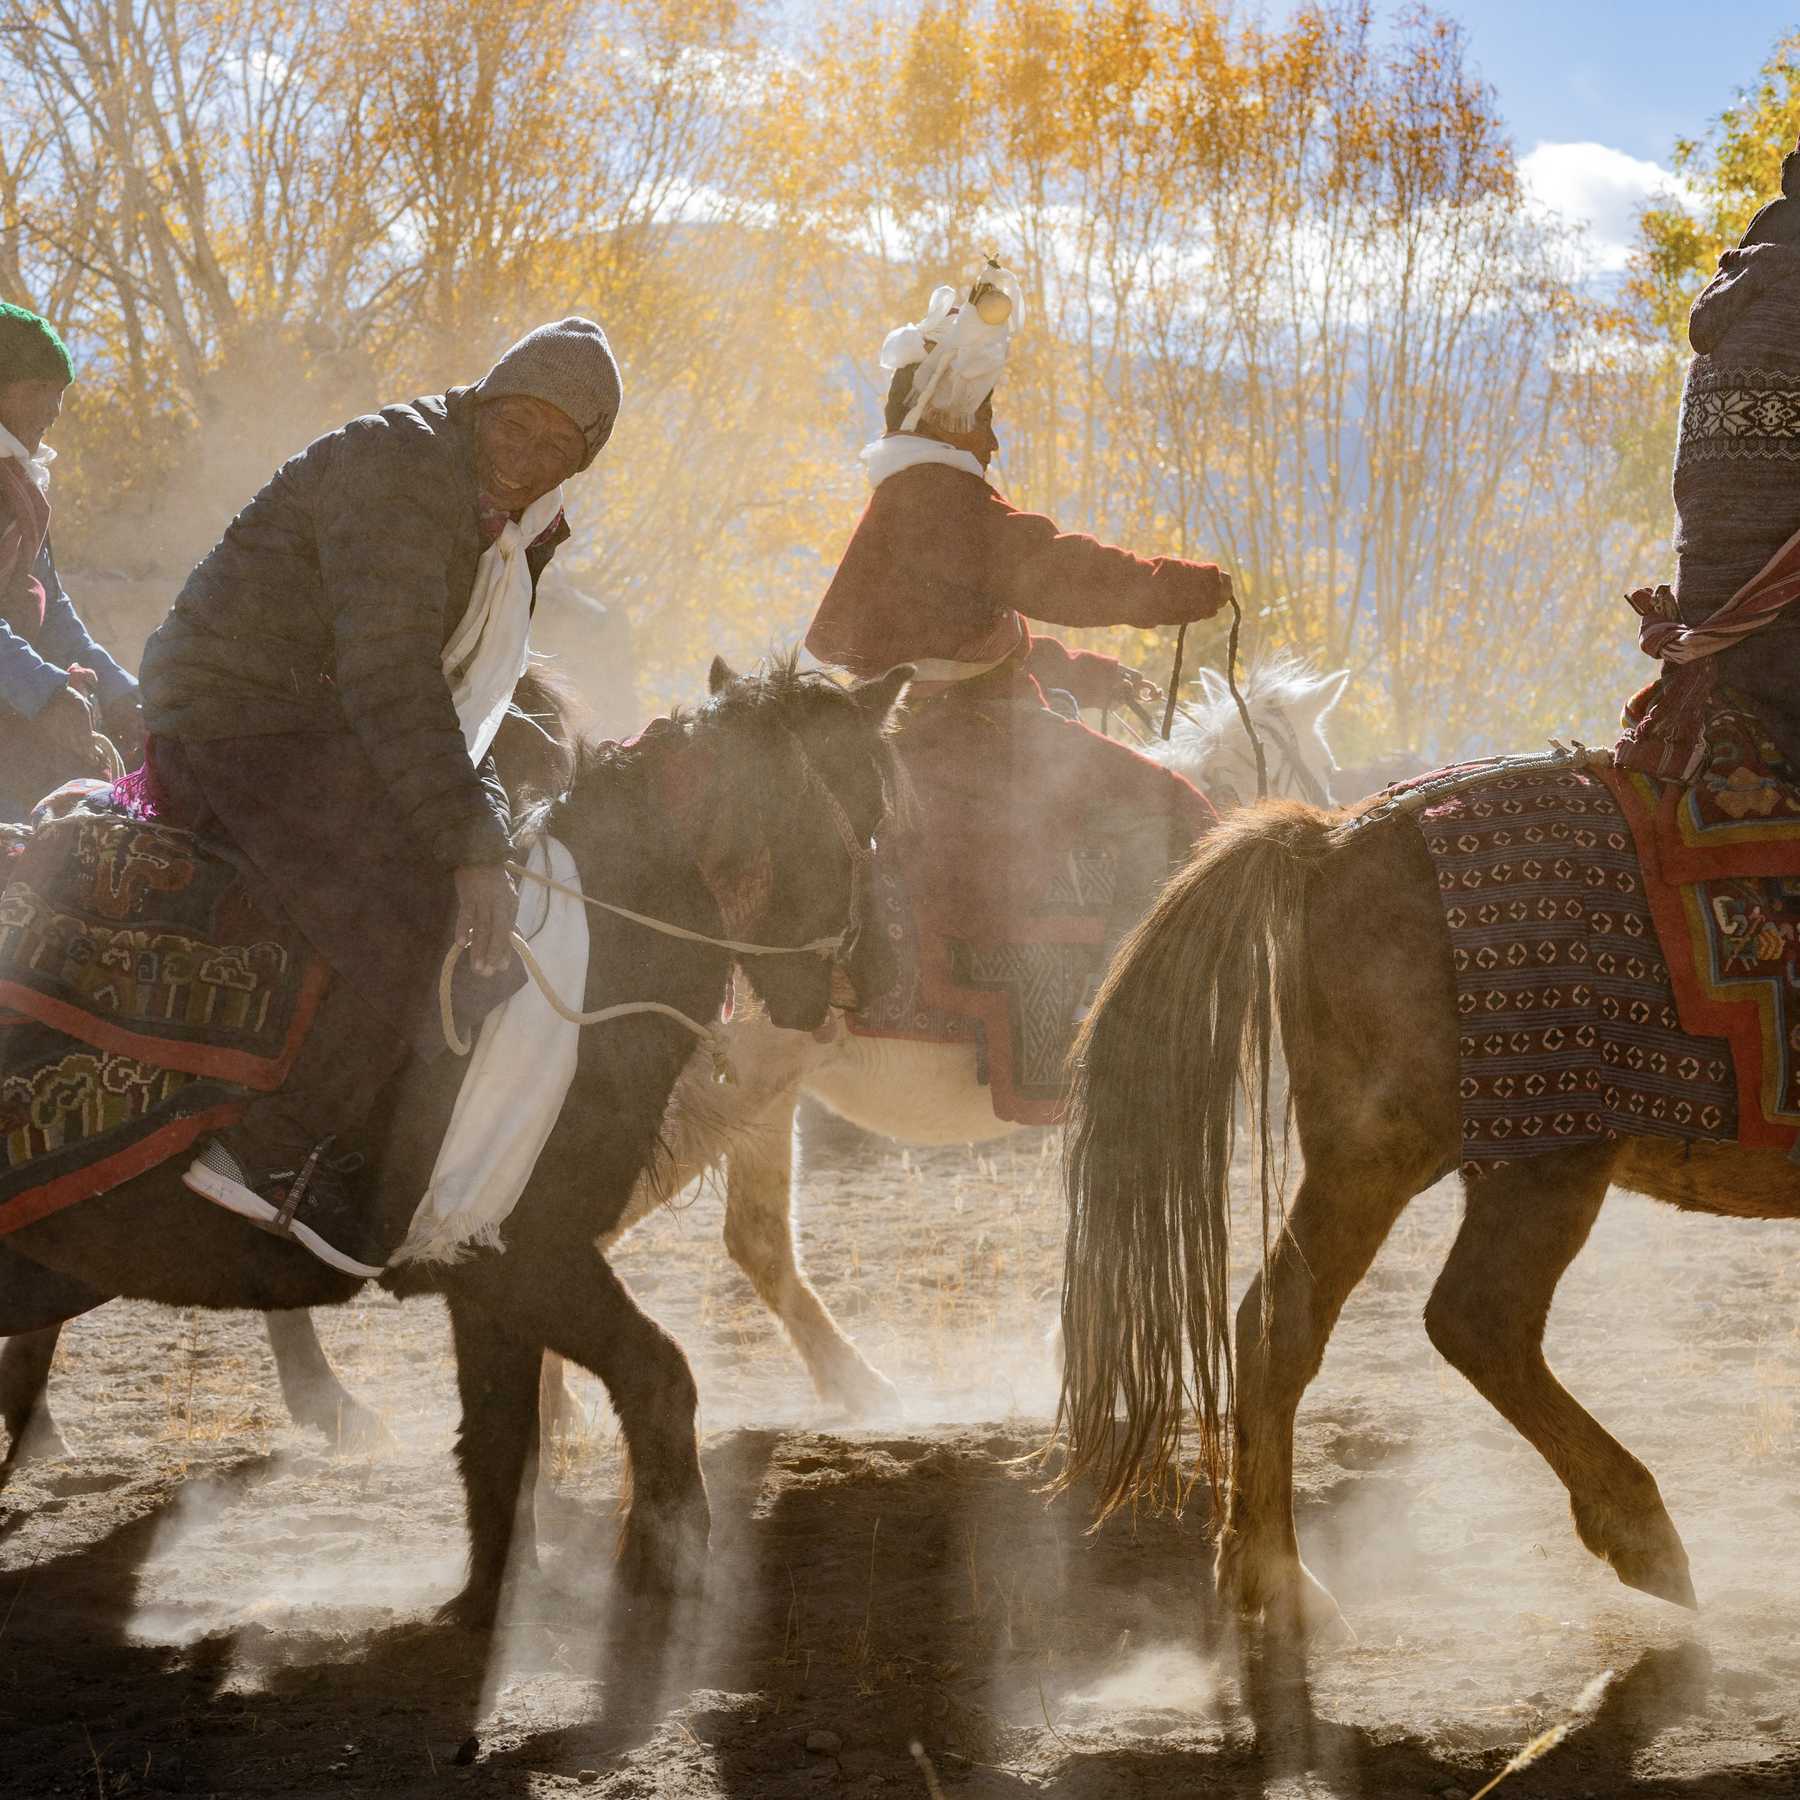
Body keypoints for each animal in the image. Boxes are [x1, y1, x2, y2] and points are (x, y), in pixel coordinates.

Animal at [0, 655, 907, 1627]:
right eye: (861, 816)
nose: (869, 986)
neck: (590, 958)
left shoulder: (483, 1262)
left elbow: (503, 1440)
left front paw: (487, 1606)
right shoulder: (532, 1255)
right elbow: (657, 1375)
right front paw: (662, 1569)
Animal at [1051, 795, 1800, 1641]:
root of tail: (1329, 840)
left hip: (1366, 1160)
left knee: (1281, 1323)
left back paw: (1274, 1577)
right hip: (1535, 1155)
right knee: (1476, 1319)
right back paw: (1640, 1532)